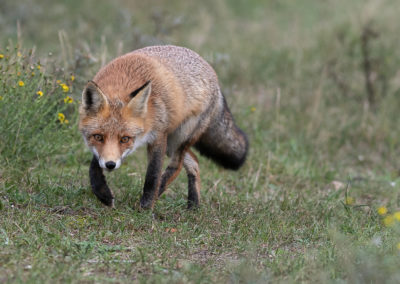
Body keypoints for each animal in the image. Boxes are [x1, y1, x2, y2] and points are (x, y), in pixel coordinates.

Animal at [79, 45, 247, 209]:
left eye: (125, 139)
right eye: (98, 137)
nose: (110, 165)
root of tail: (212, 74)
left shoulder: (158, 135)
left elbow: (152, 176)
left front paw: (146, 207)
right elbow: (93, 166)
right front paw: (103, 193)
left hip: (179, 138)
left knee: (176, 166)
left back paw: (160, 193)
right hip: (172, 144)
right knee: (194, 161)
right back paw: (193, 205)